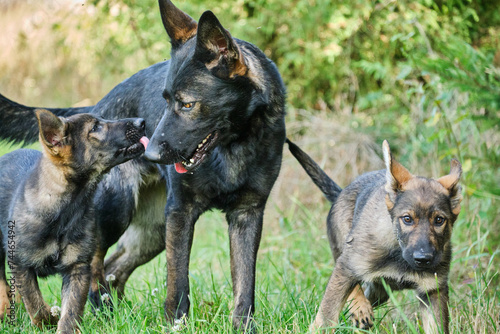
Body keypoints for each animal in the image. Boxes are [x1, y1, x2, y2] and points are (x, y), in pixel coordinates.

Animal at [0, 0, 286, 330]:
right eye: (166, 100)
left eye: (187, 104)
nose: (150, 155)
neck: (232, 146)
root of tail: (98, 107)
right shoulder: (181, 212)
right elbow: (177, 280)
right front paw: (175, 324)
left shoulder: (247, 215)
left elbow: (244, 282)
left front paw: (242, 326)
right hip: (118, 210)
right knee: (96, 261)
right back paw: (102, 309)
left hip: (153, 230)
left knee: (114, 266)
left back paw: (115, 312)